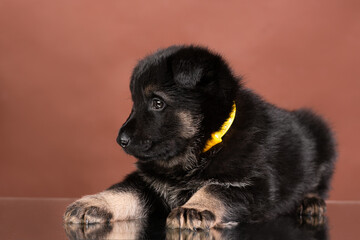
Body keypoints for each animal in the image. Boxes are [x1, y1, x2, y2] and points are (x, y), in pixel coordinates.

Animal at [63, 45, 336, 231]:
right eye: (134, 103)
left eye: (157, 103)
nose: (121, 140)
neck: (202, 148)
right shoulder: (148, 182)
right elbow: (122, 191)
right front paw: (94, 203)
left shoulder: (255, 184)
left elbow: (215, 189)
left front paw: (195, 207)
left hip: (322, 136)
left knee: (319, 185)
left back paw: (309, 201)